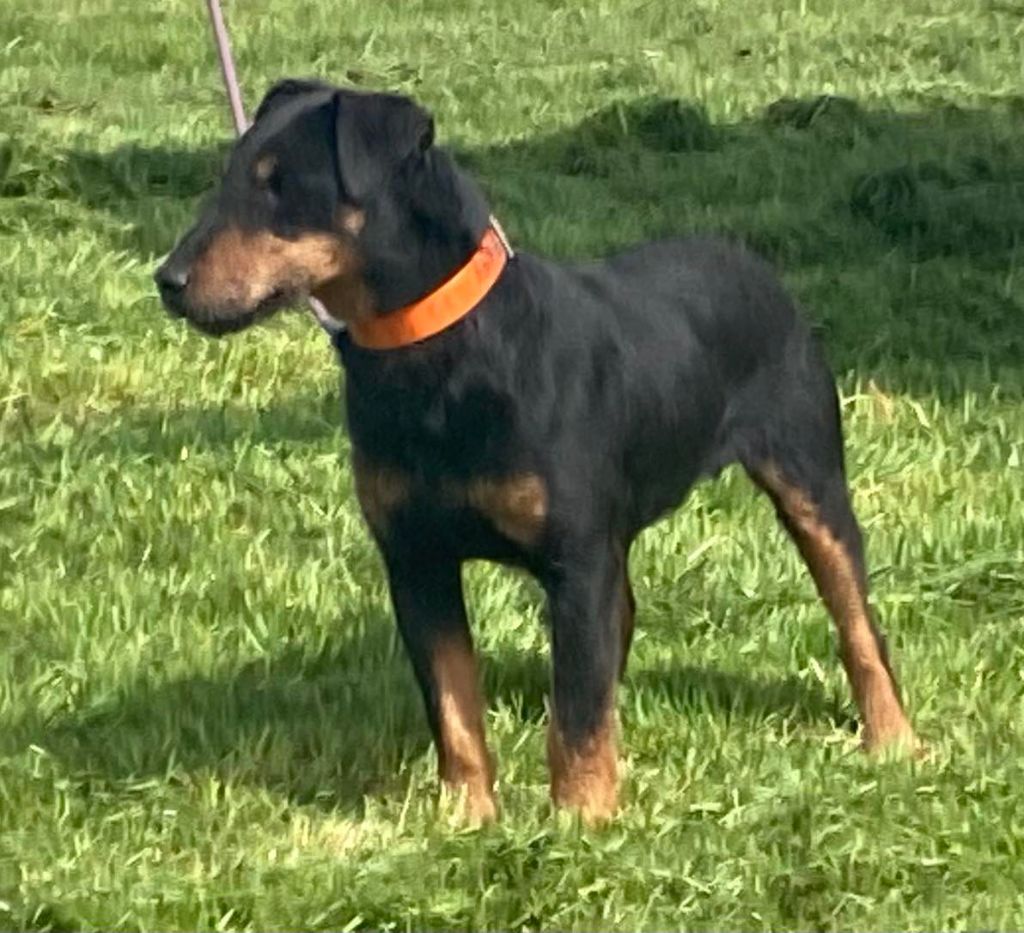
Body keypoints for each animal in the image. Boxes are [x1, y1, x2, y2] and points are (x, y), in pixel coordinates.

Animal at [155, 79, 915, 823]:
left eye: (280, 187)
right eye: (228, 179)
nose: (167, 280)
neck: (436, 350)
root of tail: (751, 259)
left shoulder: (574, 559)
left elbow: (575, 712)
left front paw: (581, 822)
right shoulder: (417, 561)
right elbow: (456, 706)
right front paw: (466, 819)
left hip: (810, 475)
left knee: (857, 623)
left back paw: (895, 739)